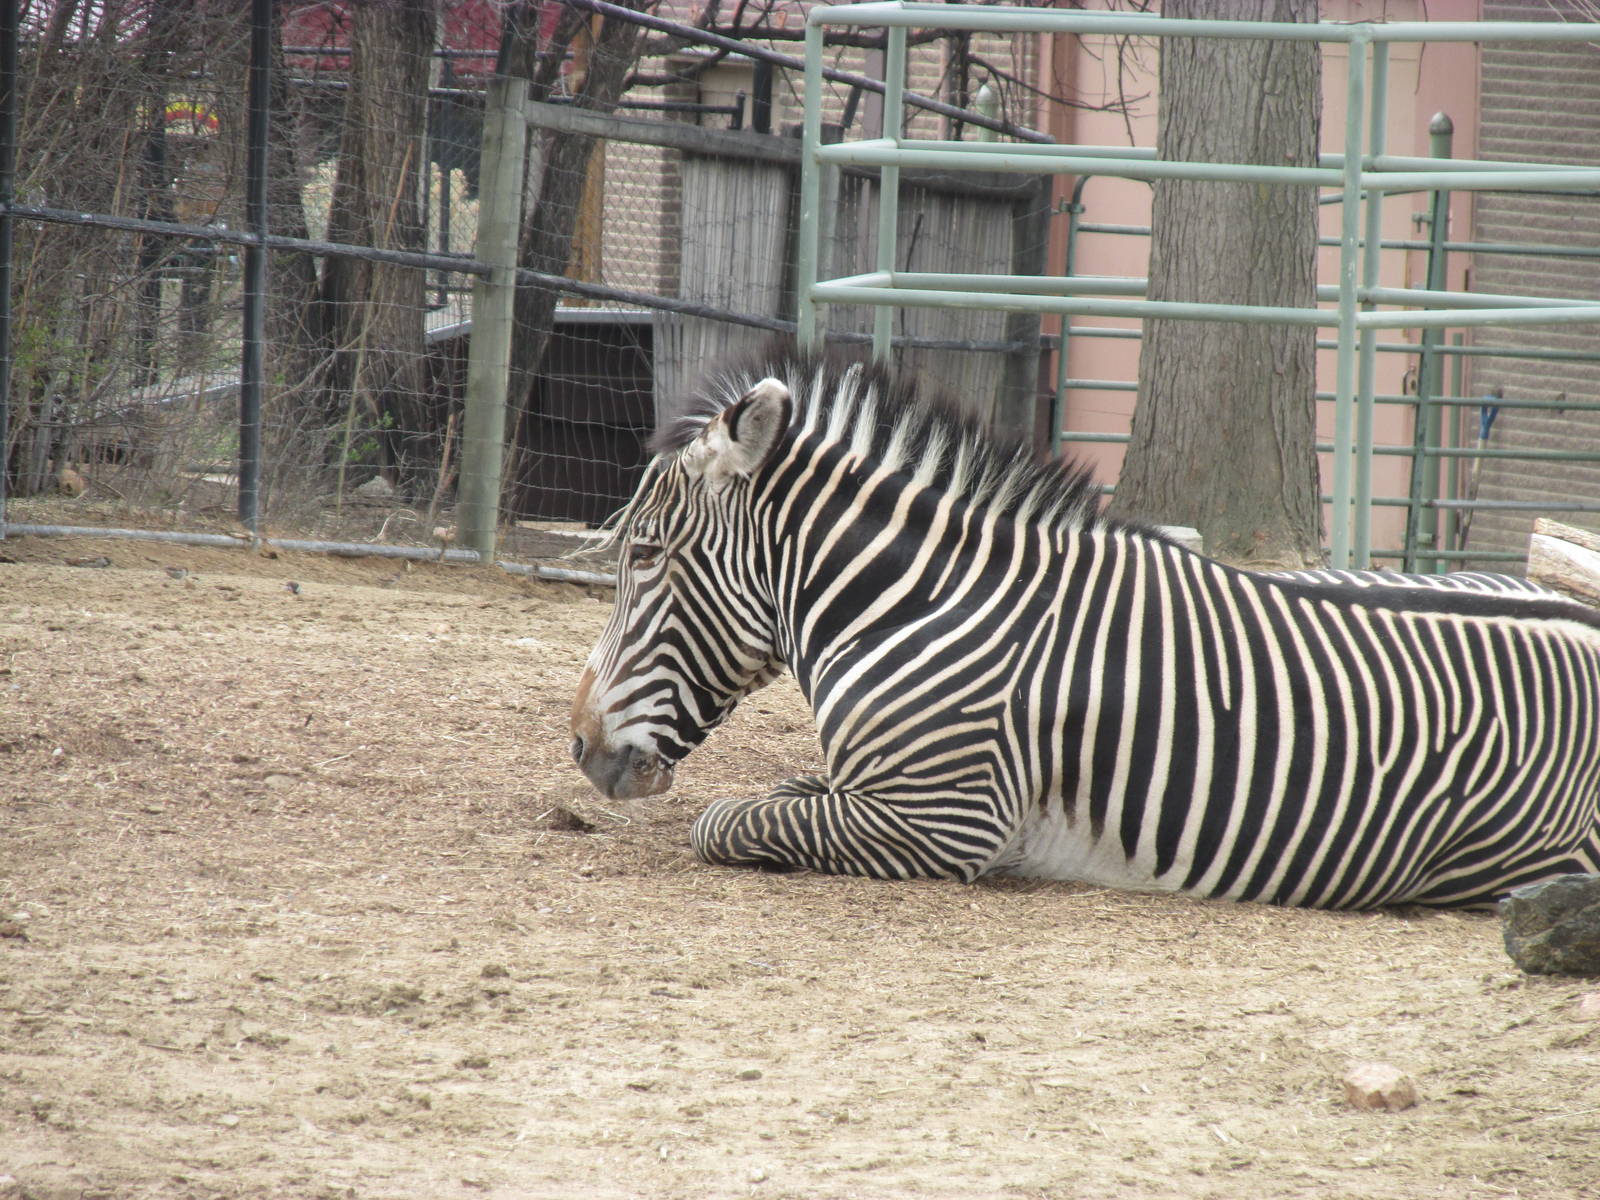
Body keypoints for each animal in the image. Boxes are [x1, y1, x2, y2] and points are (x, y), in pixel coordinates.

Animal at [569, 351, 1600, 908]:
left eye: (646, 555)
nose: (578, 747)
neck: (921, 605)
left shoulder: (939, 818)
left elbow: (723, 820)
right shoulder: (870, 788)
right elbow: (782, 791)